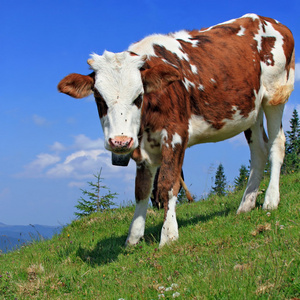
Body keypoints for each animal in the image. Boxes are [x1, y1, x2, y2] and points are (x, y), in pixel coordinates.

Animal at [58, 14, 296, 247]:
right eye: (99, 98)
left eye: (138, 96)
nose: (120, 142)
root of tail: (271, 21)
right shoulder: (143, 146)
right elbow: (142, 189)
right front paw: (133, 237)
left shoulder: (176, 134)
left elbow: (167, 184)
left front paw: (169, 235)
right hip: (251, 110)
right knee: (259, 152)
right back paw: (246, 204)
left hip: (275, 94)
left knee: (277, 144)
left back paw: (270, 200)